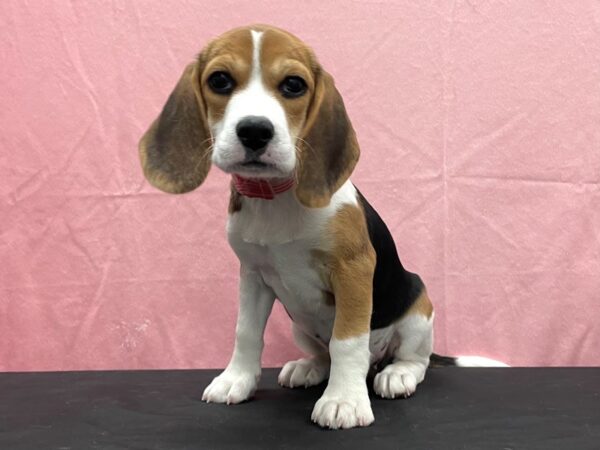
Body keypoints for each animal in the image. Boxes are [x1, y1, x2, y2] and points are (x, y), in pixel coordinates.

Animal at [138, 23, 504, 428]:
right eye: (219, 80)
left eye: (293, 85)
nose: (255, 131)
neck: (275, 195)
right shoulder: (252, 274)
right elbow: (246, 331)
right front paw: (236, 380)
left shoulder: (353, 270)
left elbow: (346, 341)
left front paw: (344, 400)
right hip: (299, 325)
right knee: (323, 355)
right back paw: (309, 367)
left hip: (418, 308)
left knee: (413, 359)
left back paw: (397, 373)